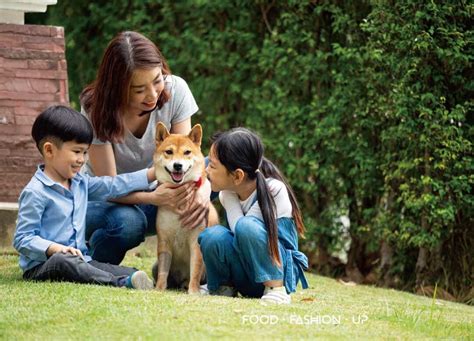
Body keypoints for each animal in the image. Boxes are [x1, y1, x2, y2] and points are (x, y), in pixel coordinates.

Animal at [153, 121, 218, 292]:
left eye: (187, 152)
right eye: (169, 152)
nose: (177, 165)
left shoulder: (196, 241)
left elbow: (195, 271)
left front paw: (193, 291)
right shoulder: (164, 240)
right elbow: (163, 272)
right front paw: (159, 289)